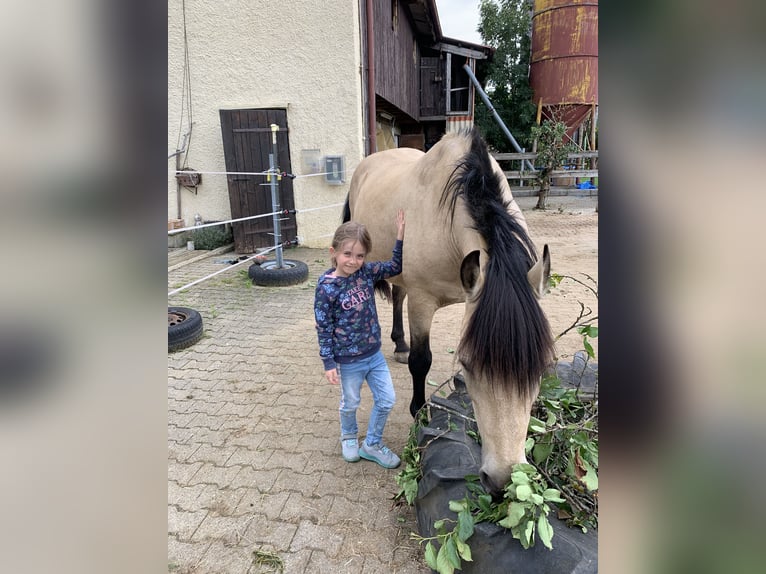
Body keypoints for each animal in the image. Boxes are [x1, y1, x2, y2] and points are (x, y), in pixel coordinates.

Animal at [344, 128, 556, 498]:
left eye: (542, 368)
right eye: (468, 364)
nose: (502, 480)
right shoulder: (423, 302)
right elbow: (421, 361)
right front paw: (419, 414)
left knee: (397, 294)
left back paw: (398, 343)